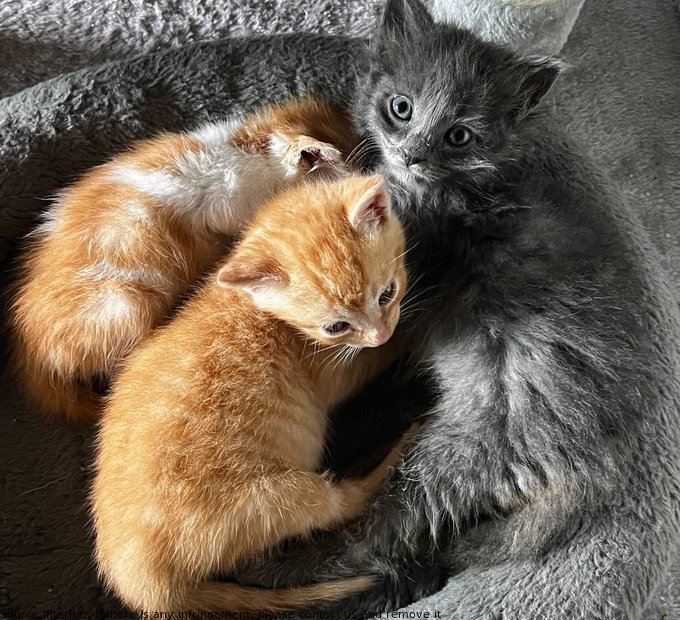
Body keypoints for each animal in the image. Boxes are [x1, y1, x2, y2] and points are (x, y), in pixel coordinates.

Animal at [91, 173, 410, 612]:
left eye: (386, 293)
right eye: (336, 327)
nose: (380, 332)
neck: (253, 307)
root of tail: (147, 588)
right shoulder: (330, 369)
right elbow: (373, 358)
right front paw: (412, 335)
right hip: (278, 497)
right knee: (345, 505)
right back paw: (396, 452)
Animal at [238, 0, 680, 616]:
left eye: (460, 135)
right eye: (401, 107)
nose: (412, 155)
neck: (454, 191)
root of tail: (597, 466)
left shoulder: (409, 273)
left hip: (464, 446)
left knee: (377, 539)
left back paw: (273, 570)